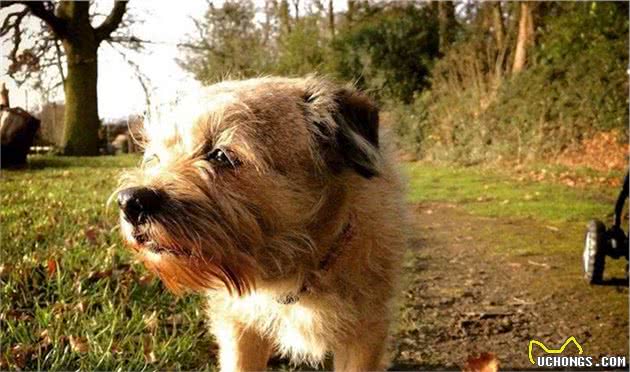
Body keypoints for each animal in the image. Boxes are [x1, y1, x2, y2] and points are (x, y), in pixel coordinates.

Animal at [116, 77, 408, 370]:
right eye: (156, 157)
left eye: (221, 155)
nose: (129, 201)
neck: (296, 274)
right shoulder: (239, 326)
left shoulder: (365, 333)